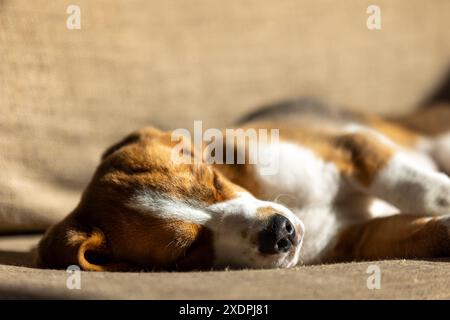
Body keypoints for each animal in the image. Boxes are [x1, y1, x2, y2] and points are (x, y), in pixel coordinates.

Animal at [36, 99, 450, 272]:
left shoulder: (350, 147)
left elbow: (416, 187)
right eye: (187, 250)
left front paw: (444, 195)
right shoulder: (361, 238)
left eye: (215, 179)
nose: (279, 233)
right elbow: (424, 233)